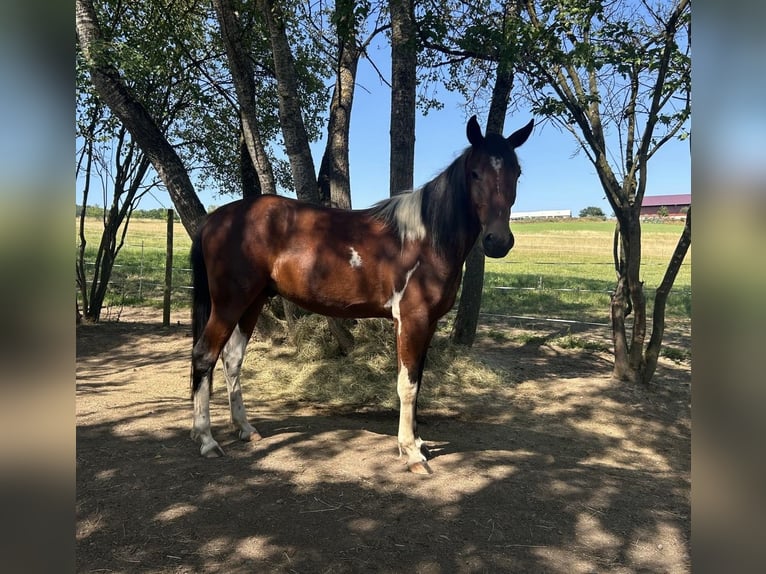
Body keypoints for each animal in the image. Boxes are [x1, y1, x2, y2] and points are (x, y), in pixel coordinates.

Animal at [190, 115, 534, 474]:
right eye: (475, 172)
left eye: (516, 172)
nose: (498, 241)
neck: (425, 239)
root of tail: (214, 220)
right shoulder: (411, 320)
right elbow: (407, 384)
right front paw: (411, 453)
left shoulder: (428, 323)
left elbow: (418, 380)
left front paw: (417, 444)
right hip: (229, 303)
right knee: (204, 355)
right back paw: (207, 440)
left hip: (252, 302)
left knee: (232, 359)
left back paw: (245, 428)